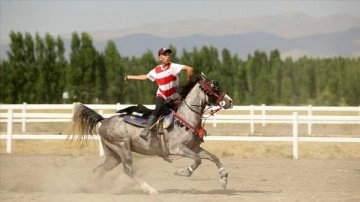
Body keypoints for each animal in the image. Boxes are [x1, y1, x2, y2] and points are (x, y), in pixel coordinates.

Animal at [69, 73, 235, 195]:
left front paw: (224, 179)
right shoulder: (178, 149)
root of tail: (103, 120)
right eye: (214, 86)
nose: (230, 101)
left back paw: (89, 188)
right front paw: (183, 172)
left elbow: (213, 157)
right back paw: (151, 190)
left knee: (99, 169)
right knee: (128, 170)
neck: (185, 118)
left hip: (113, 155)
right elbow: (198, 160)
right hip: (122, 147)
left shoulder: (194, 148)